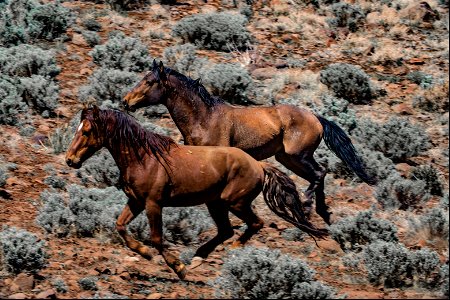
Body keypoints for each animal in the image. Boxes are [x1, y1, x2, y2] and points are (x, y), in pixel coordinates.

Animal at [65, 105, 326, 278]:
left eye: (86, 131)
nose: (70, 160)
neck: (144, 158)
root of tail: (259, 165)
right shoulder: (136, 201)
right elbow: (119, 225)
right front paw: (144, 253)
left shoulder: (153, 204)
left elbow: (157, 238)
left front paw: (177, 268)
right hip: (216, 204)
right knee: (226, 231)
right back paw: (199, 258)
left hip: (234, 202)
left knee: (254, 224)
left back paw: (230, 252)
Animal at [123, 60, 376, 225]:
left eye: (150, 81)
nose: (126, 101)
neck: (204, 118)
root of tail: (316, 118)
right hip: (287, 158)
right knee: (318, 174)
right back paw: (321, 212)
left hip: (298, 156)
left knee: (320, 173)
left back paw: (307, 205)